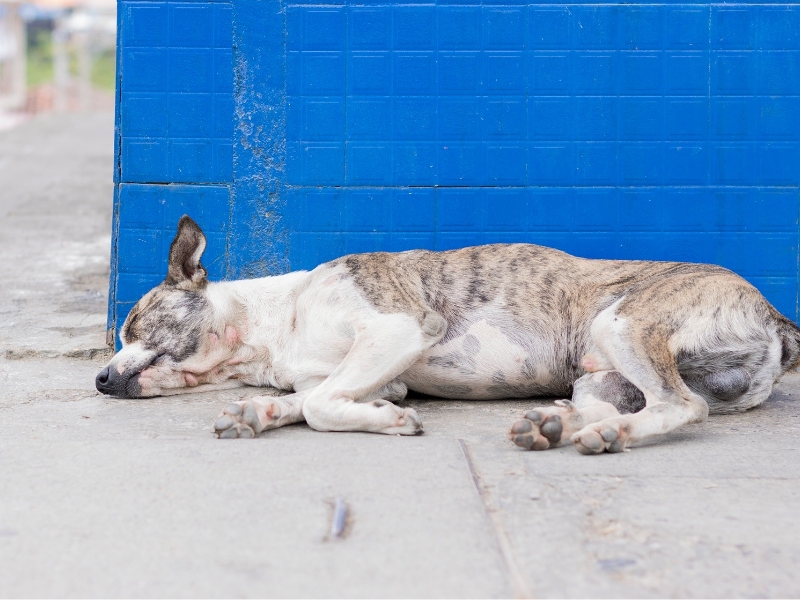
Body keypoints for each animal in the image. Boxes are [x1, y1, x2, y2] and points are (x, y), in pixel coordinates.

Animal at [95, 216, 800, 454]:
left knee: (684, 405)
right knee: (639, 405)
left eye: (131, 326)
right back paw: (559, 426)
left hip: (625, 321)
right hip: (600, 377)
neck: (276, 325)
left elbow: (321, 406)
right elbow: (313, 398)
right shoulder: (380, 373)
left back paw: (609, 437)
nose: (99, 379)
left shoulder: (398, 326)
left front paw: (384, 424)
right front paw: (259, 411)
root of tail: (777, 318)